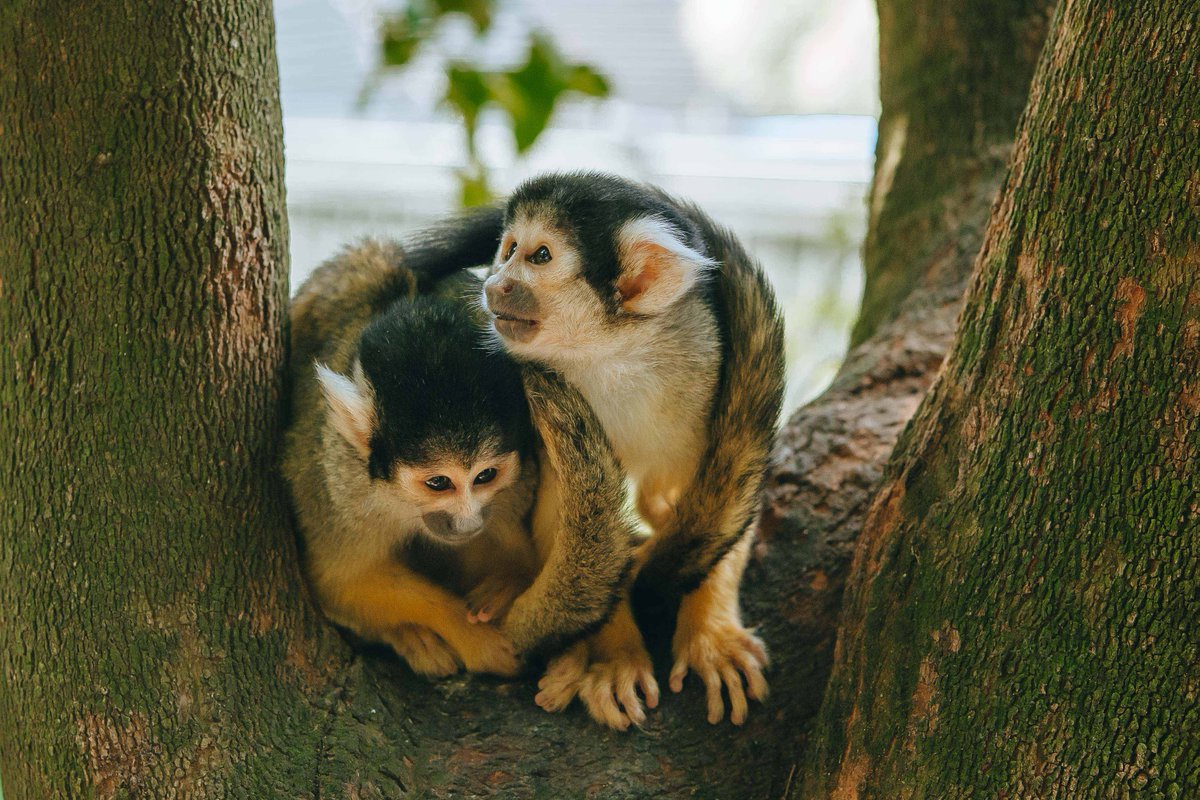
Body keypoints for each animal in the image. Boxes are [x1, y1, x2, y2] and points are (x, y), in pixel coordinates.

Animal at [480, 172, 785, 728]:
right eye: (508, 250)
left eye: (539, 256)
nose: (494, 284)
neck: (609, 355)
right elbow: (578, 530)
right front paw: (615, 657)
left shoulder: (701, 363)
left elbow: (726, 481)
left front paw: (711, 635)